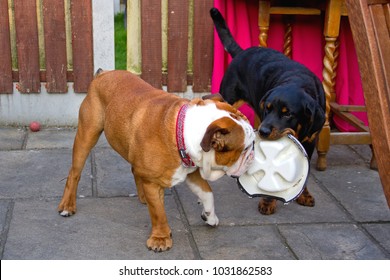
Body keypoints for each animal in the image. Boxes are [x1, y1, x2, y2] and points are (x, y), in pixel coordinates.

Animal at [210, 8, 326, 214]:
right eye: (269, 108)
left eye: (287, 113)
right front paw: (267, 201)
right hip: (228, 97)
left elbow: (306, 173)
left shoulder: (311, 140)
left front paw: (304, 195)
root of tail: (242, 52)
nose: (263, 131)